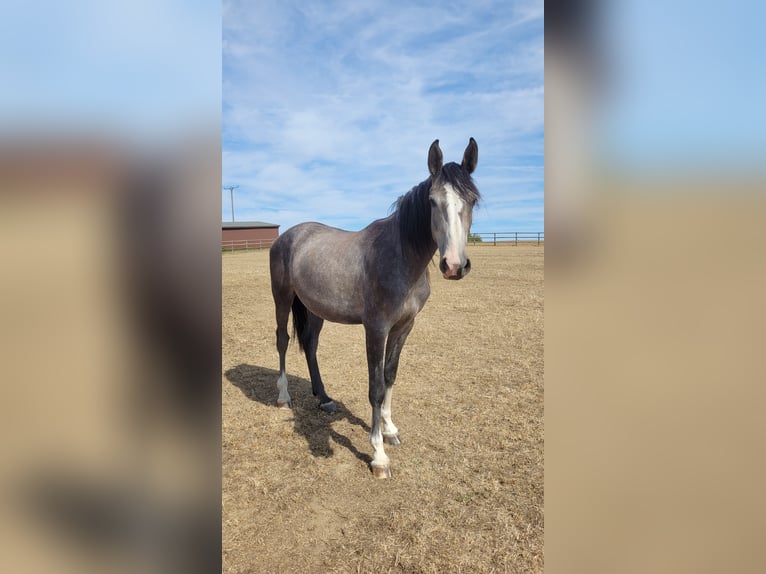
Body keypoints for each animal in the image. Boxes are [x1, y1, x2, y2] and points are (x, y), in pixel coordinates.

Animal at [270, 137, 480, 480]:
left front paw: (390, 429)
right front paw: (379, 455)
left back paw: (324, 399)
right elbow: (376, 386)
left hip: (315, 309)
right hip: (282, 298)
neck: (400, 257)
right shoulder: (376, 329)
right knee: (283, 341)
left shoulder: (404, 326)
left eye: (472, 200)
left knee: (311, 346)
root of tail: (288, 235)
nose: (453, 265)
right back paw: (283, 397)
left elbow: (391, 376)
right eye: (432, 201)